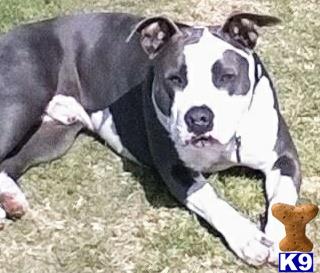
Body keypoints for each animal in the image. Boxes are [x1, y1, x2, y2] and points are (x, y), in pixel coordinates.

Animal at [0, 11, 300, 264]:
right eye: (174, 79)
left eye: (227, 76)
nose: (199, 117)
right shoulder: (175, 170)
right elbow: (210, 198)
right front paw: (247, 238)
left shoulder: (284, 158)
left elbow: (283, 197)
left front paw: (281, 239)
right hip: (19, 105)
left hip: (53, 137)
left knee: (9, 164)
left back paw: (9, 201)